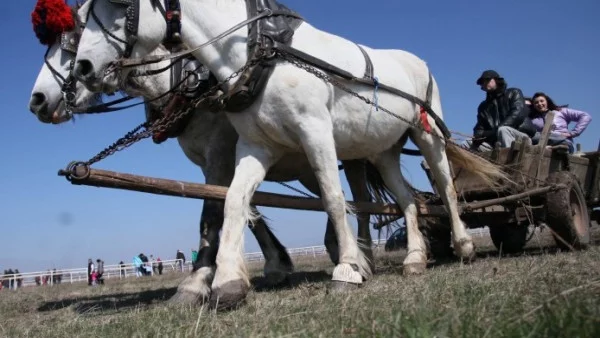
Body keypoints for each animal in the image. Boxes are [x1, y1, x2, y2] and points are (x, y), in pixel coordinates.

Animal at [29, 0, 384, 306]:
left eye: (73, 37)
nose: (37, 101)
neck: (192, 86)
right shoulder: (219, 161)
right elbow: (245, 209)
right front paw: (274, 264)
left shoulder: (220, 154)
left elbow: (212, 212)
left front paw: (196, 281)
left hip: (349, 153)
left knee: (359, 199)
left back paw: (360, 256)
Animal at [71, 0, 506, 308]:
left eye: (118, 4)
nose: (83, 68)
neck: (263, 52)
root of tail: (419, 61)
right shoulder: (254, 147)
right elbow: (234, 201)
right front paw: (228, 282)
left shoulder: (315, 132)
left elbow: (333, 199)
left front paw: (348, 269)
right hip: (382, 151)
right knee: (408, 200)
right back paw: (414, 259)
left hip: (426, 134)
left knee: (445, 188)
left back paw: (463, 246)